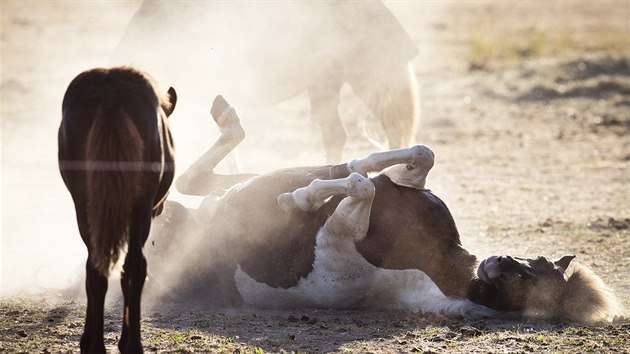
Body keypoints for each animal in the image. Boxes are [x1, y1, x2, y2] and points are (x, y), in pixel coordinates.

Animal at [58, 67, 178, 354]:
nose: (162, 207)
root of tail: (110, 94)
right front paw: (124, 340)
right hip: (139, 209)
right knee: (135, 267)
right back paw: (133, 344)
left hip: (85, 205)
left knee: (96, 268)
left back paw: (95, 346)